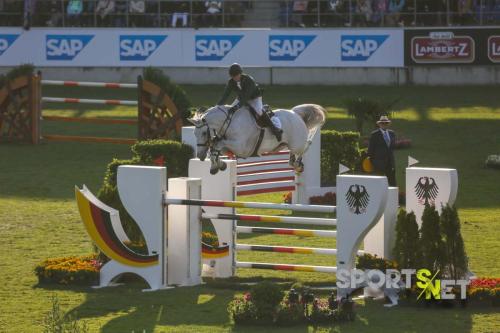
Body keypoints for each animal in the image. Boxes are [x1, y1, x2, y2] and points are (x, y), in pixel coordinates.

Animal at [188, 104, 328, 175]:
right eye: (194, 133)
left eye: (204, 133)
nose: (200, 156)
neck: (229, 123)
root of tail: (295, 114)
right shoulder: (229, 147)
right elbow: (215, 150)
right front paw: (218, 166)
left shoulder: (242, 149)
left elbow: (217, 145)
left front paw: (217, 165)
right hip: (288, 144)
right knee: (293, 155)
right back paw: (294, 162)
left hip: (297, 143)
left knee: (307, 145)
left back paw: (298, 164)